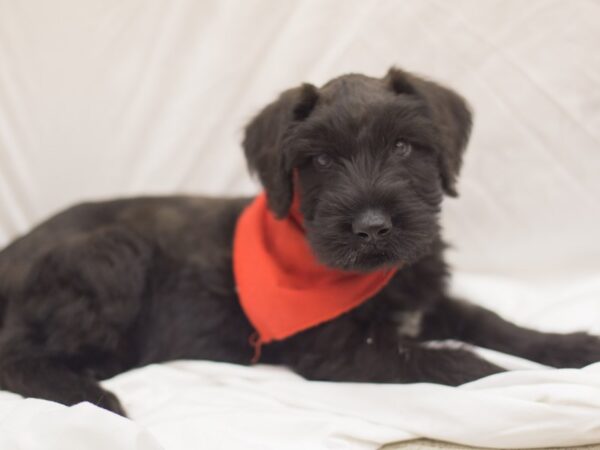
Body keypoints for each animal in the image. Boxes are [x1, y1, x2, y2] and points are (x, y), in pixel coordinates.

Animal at [1, 67, 600, 414]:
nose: (372, 227)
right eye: (320, 160)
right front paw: (514, 383)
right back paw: (91, 395)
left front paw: (571, 346)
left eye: (405, 146)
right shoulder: (340, 351)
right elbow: (458, 362)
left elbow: (490, 321)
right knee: (14, 354)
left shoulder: (426, 300)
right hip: (109, 256)